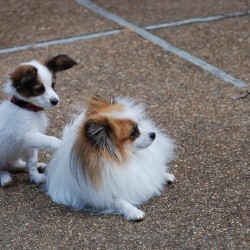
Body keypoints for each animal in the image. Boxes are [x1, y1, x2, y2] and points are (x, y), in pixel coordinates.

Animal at [0, 55, 76, 188]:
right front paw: (63, 143)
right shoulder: (26, 135)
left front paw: (36, 177)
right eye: (39, 89)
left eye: (53, 85)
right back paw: (4, 178)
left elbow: (32, 161)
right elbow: (51, 139)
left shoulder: (30, 143)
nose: (55, 101)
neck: (27, 108)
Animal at [47, 96, 176, 221]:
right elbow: (119, 201)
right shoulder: (98, 196)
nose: (153, 134)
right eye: (134, 133)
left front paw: (164, 175)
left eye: (139, 124)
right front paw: (134, 211)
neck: (121, 159)